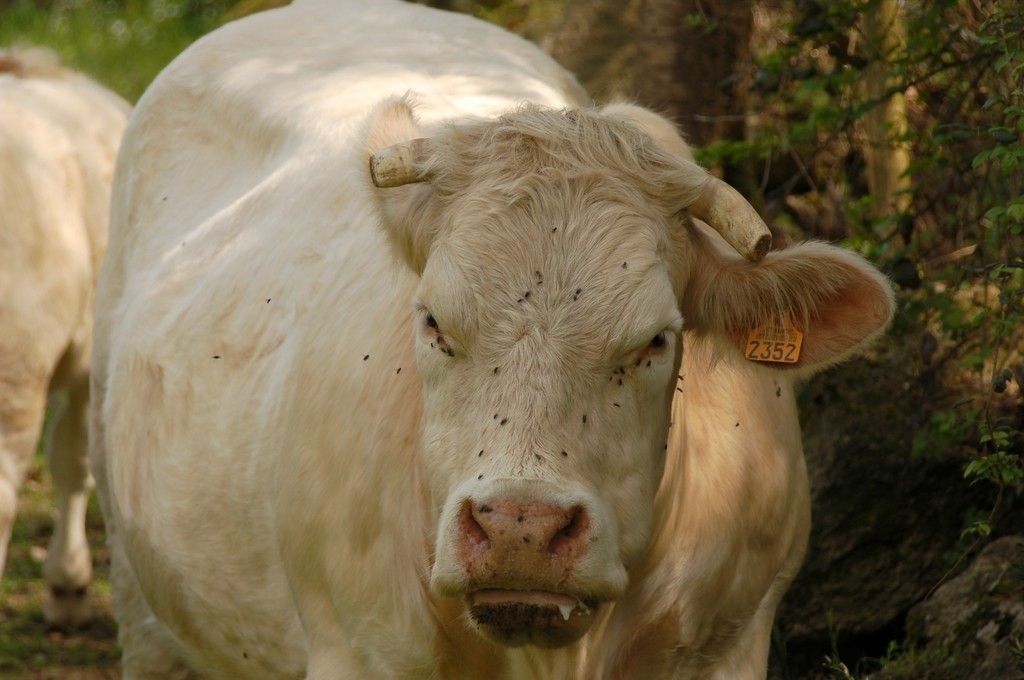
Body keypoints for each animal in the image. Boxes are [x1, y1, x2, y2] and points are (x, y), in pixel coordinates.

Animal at [94, 2, 897, 675]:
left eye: (657, 340)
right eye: (432, 321)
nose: (520, 527)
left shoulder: (732, 637)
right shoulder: (357, 647)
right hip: (139, 596)